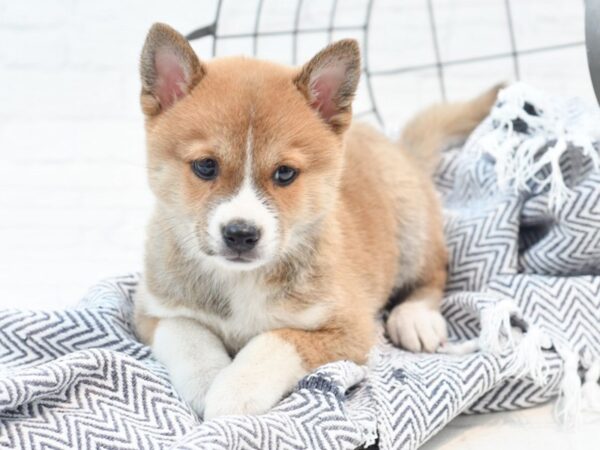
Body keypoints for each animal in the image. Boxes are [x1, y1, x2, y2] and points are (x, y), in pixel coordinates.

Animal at [134, 23, 500, 418]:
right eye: (205, 166)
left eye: (284, 173)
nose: (241, 234)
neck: (242, 280)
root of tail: (397, 146)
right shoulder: (151, 309)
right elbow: (187, 336)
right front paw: (208, 380)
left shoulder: (351, 328)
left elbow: (274, 341)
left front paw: (234, 389)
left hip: (412, 231)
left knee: (434, 273)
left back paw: (415, 318)